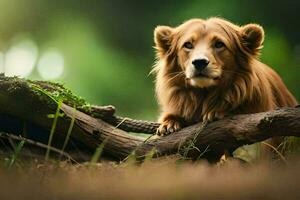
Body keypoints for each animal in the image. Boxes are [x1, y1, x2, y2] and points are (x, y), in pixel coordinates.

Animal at [152, 17, 298, 145]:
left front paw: (217, 112)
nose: (199, 62)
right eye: (188, 45)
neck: (204, 95)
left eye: (219, 44)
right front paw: (168, 124)